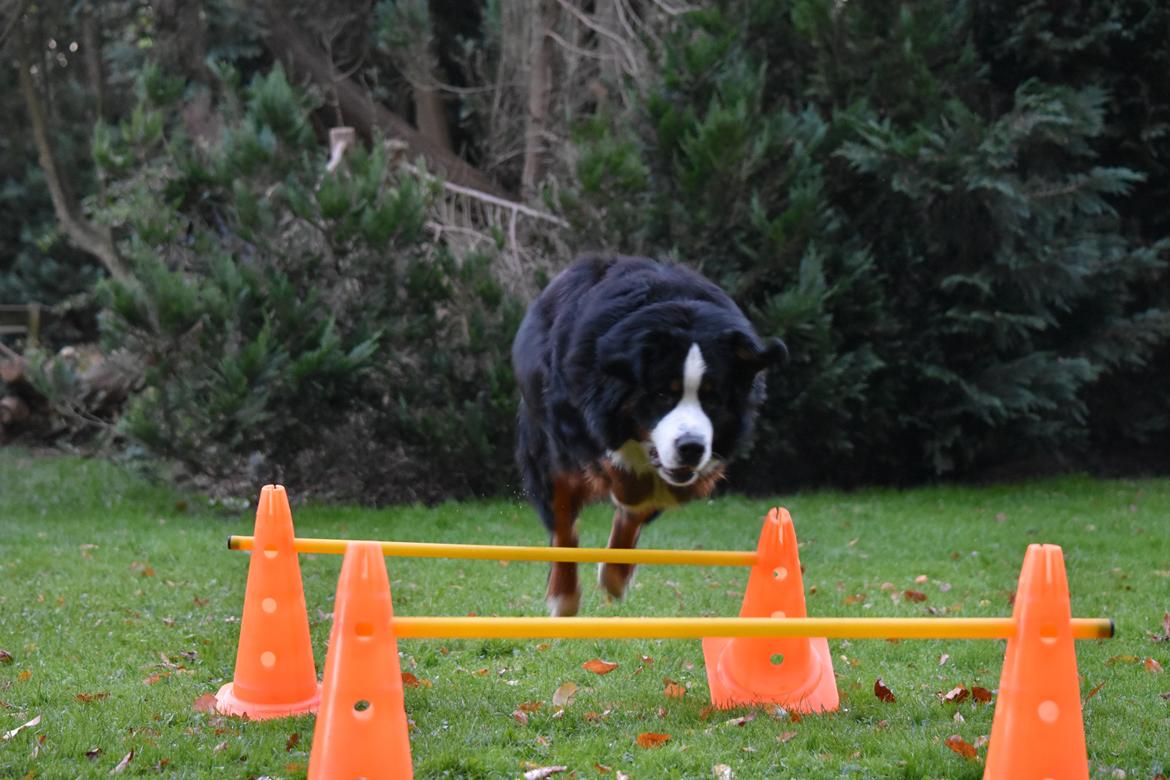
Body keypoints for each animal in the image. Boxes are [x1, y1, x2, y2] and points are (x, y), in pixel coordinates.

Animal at [512, 256, 786, 617]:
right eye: (661, 395)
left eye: (713, 398)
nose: (691, 447)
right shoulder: (572, 421)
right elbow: (604, 478)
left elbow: (642, 503)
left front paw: (616, 572)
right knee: (563, 520)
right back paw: (564, 594)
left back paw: (614, 573)